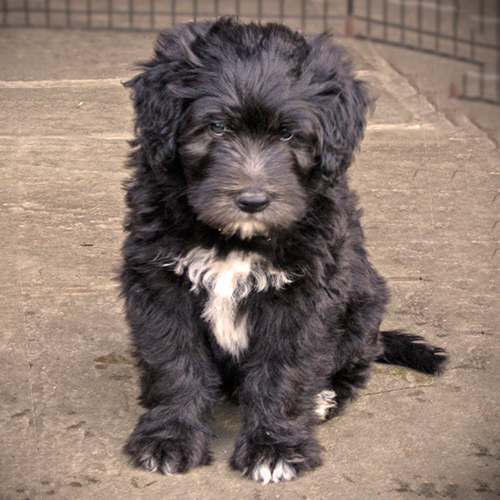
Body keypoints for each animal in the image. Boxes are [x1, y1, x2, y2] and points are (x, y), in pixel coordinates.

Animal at [119, 17, 448, 482]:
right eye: (216, 127)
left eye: (289, 134)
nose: (253, 200)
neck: (235, 240)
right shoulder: (159, 282)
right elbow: (174, 362)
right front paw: (170, 436)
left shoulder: (305, 295)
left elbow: (284, 373)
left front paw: (274, 447)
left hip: (365, 304)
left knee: (356, 362)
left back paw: (325, 397)